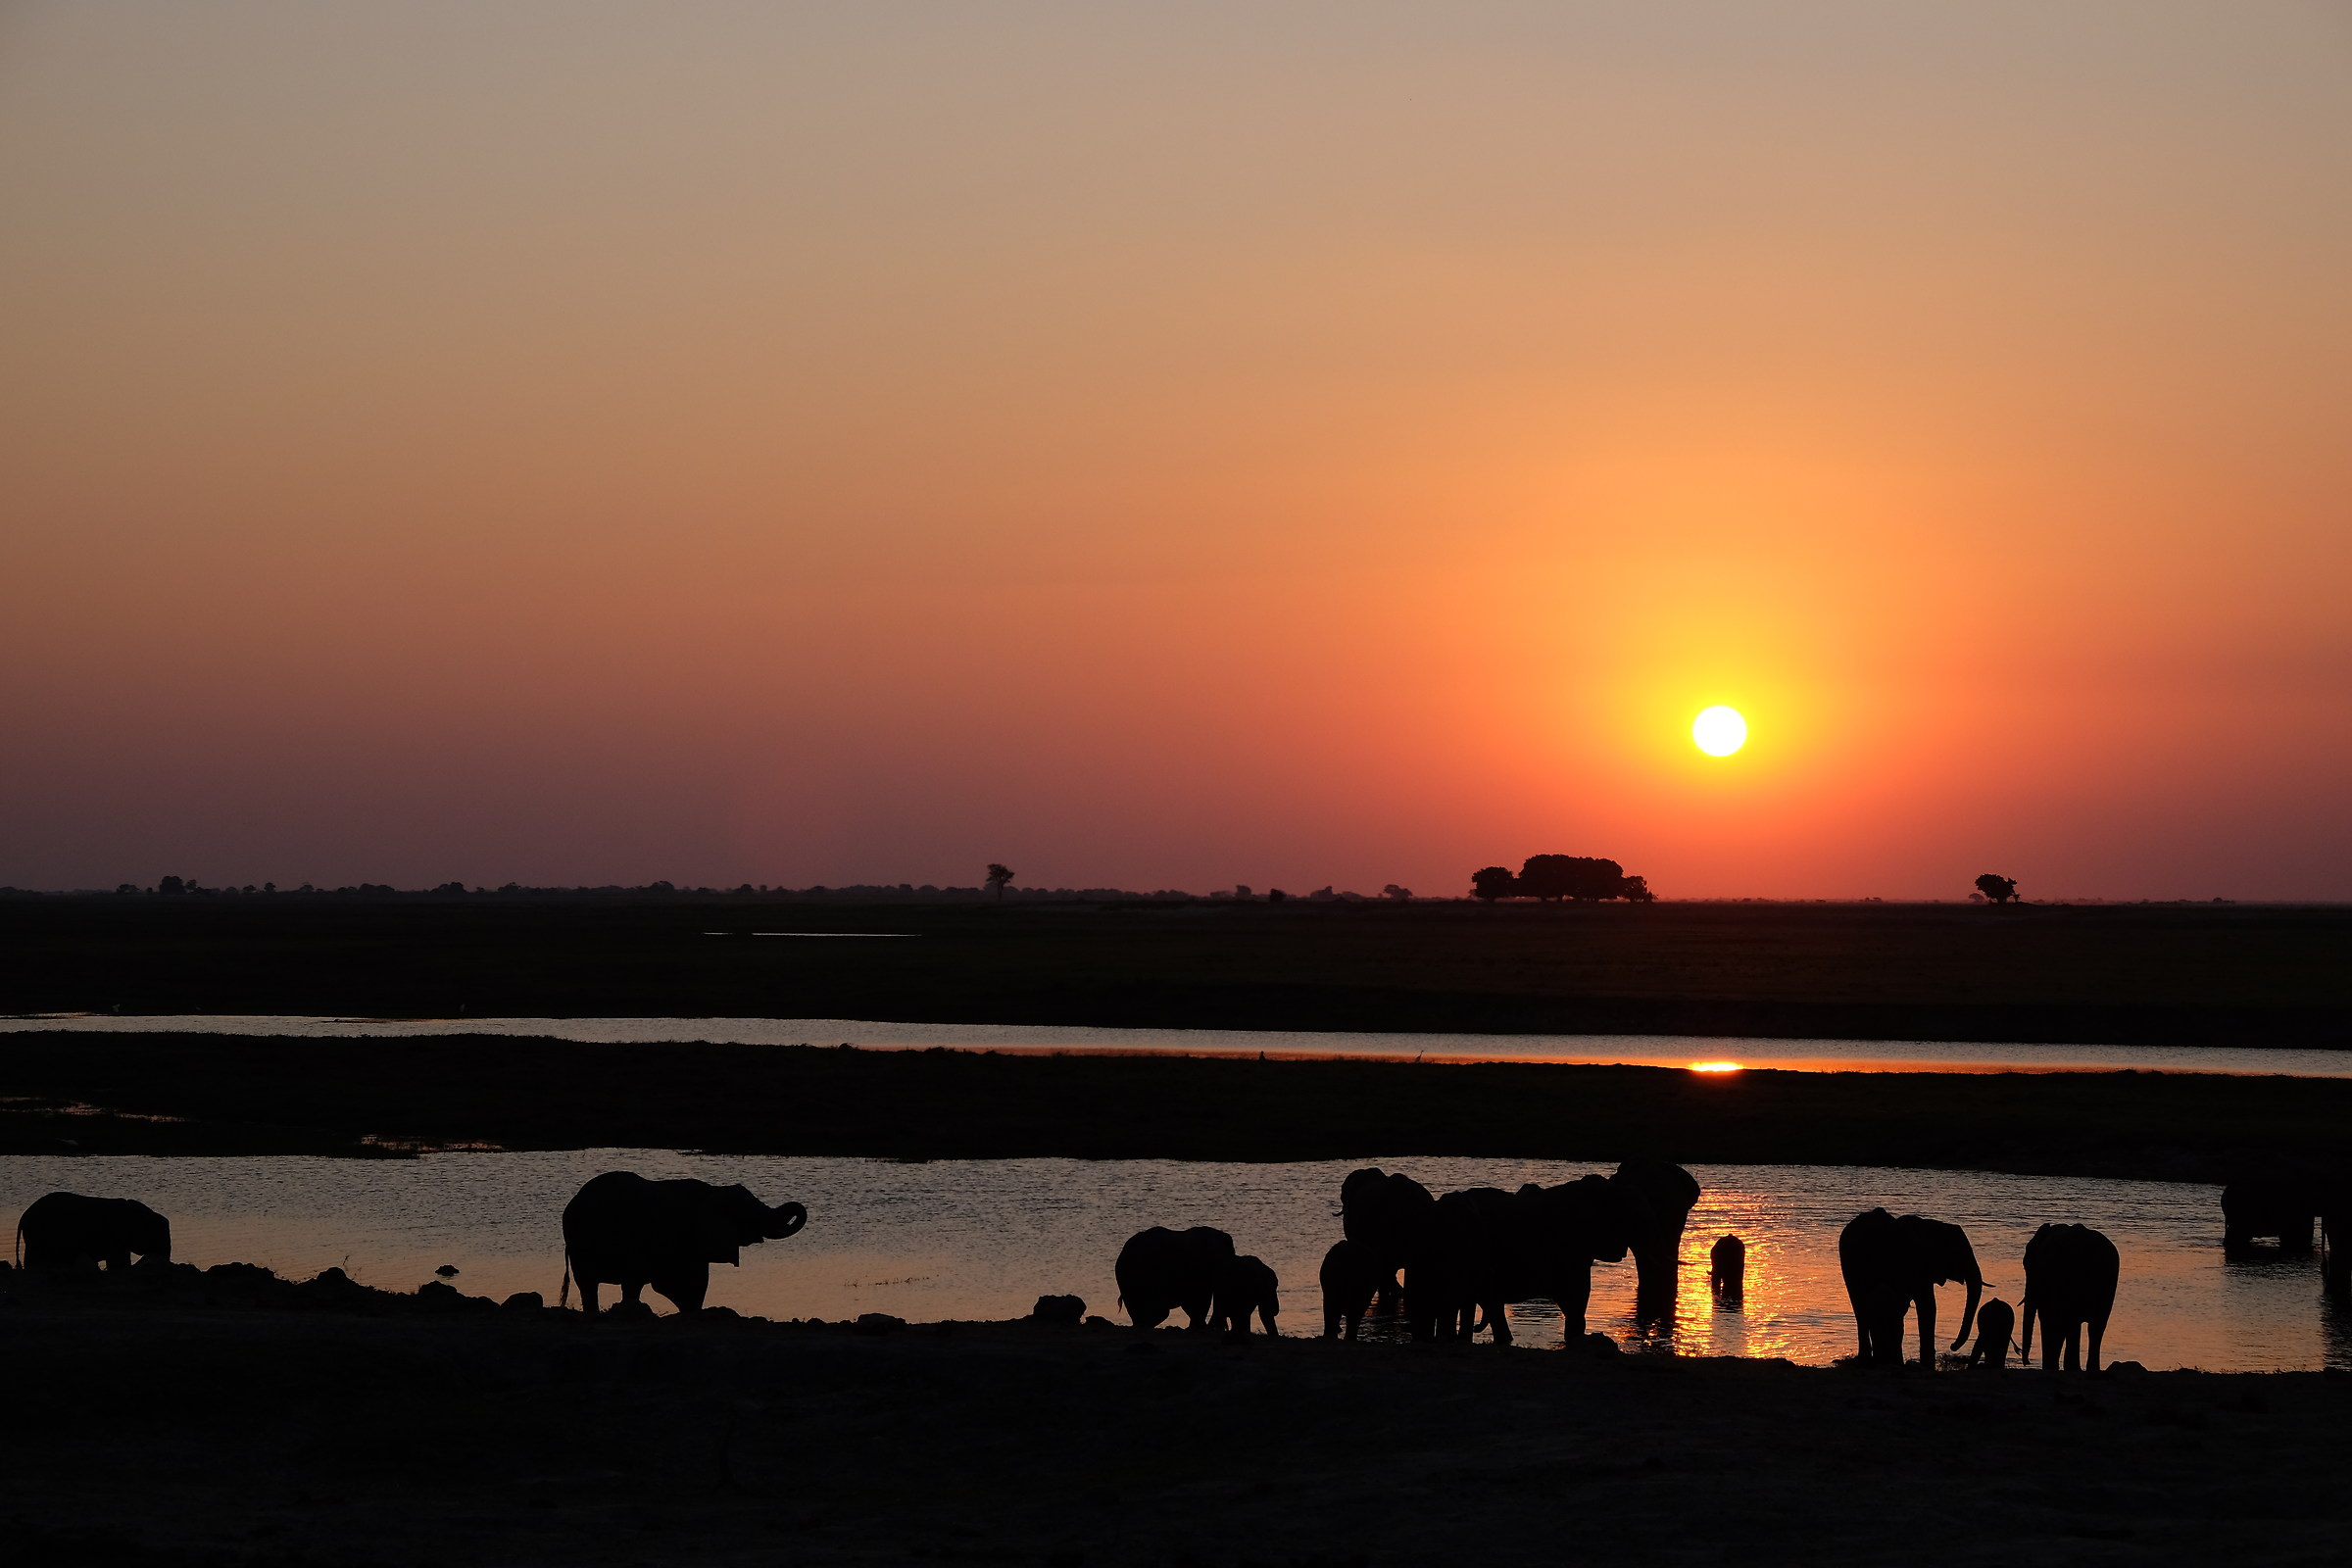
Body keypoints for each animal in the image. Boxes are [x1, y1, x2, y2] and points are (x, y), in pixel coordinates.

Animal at [1837, 1208, 1983, 1369]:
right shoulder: (1918, 1266)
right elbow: (1928, 1306)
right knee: (1862, 1308)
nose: (1952, 1346)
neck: (1933, 1226)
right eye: (1959, 1253)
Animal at [2019, 1223, 2119, 1373]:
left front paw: (2051, 1367)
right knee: (2096, 1326)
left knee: (2072, 1322)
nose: (2027, 1362)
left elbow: (2048, 1318)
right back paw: (2088, 1370)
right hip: (2107, 1283)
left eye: (2026, 1265)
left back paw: (2073, 1368)